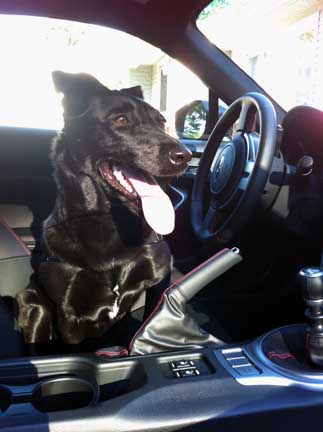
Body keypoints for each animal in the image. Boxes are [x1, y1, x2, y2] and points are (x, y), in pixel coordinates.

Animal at [15, 72, 191, 346]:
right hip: (32, 301)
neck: (110, 222)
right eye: (121, 119)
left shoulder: (160, 280)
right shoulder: (70, 316)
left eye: (162, 122)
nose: (185, 156)